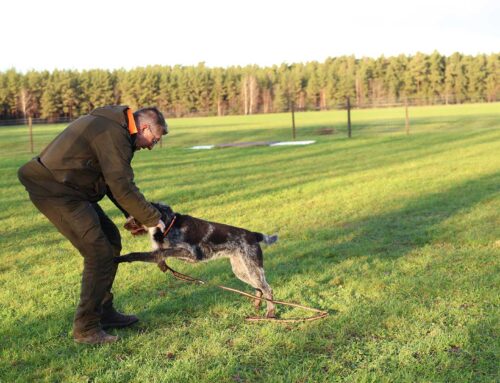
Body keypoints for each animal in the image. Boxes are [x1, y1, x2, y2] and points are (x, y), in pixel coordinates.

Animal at [115, 204, 280, 318]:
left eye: (134, 216)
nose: (124, 225)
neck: (169, 224)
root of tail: (253, 234)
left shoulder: (190, 253)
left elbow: (149, 253)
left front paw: (120, 257)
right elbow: (158, 254)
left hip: (252, 268)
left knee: (267, 289)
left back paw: (270, 313)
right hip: (241, 270)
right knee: (259, 289)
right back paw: (257, 305)